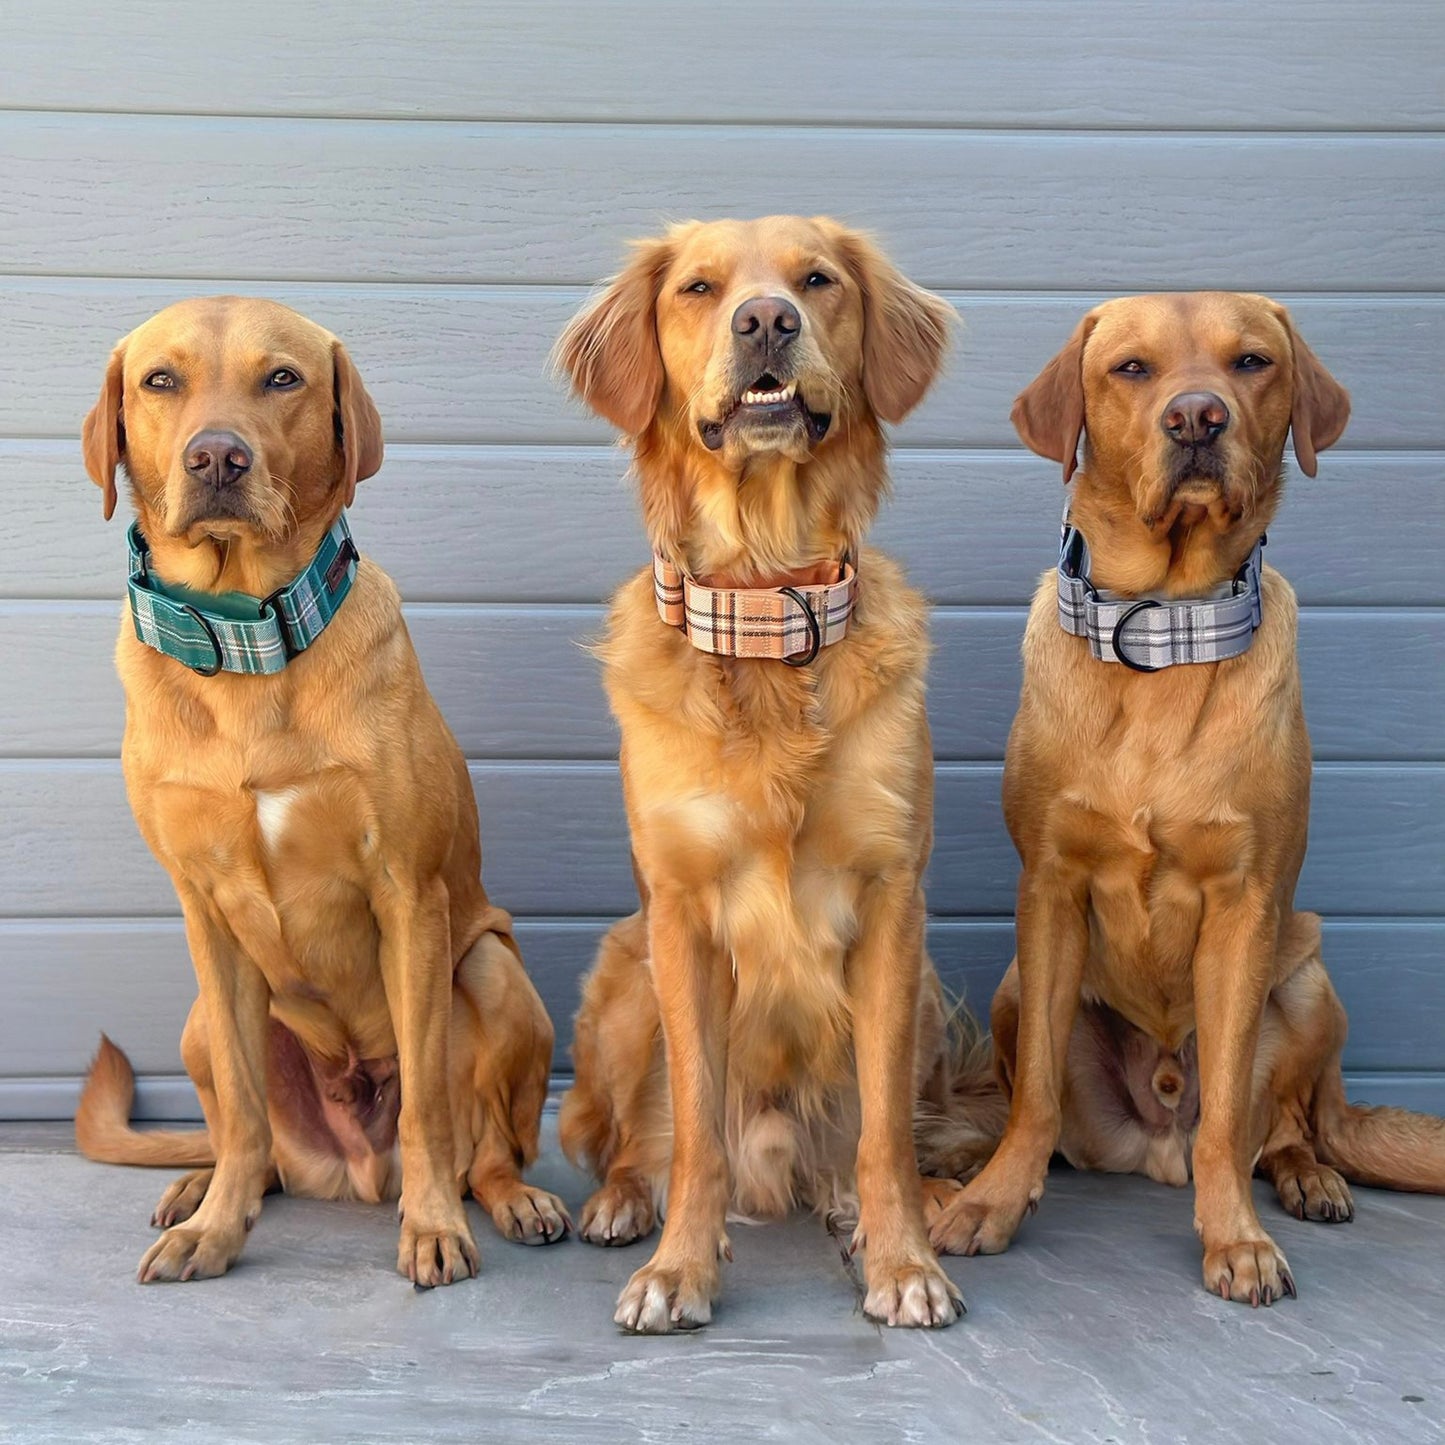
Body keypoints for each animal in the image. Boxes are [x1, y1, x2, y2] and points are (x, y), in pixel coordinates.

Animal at [76, 296, 566, 1288]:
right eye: (160, 380)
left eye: (281, 379)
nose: (216, 458)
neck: (245, 641)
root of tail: (351, 1169)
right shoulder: (205, 914)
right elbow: (242, 1106)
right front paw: (216, 1231)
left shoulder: (408, 897)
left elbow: (426, 1107)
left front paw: (432, 1229)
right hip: (197, 1019)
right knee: (249, 1142)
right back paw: (206, 1191)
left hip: (492, 971)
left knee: (486, 1148)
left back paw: (508, 1199)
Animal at [549, 213, 1005, 1329]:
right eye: (700, 288)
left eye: (817, 279)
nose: (766, 320)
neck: (765, 607)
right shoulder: (678, 912)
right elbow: (695, 1128)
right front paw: (678, 1266)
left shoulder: (891, 905)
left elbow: (882, 1130)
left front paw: (901, 1258)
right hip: (624, 970)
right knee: (636, 1136)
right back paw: (624, 1198)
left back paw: (846, 1199)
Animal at [919, 293, 1445, 1312]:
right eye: (1130, 368)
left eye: (1250, 363)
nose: (1196, 418)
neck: (1162, 626)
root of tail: (1149, 1145)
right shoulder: (1049, 889)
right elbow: (1033, 1092)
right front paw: (992, 1203)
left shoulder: (1245, 908)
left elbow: (1229, 1117)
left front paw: (1234, 1239)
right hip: (1013, 987)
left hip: (1306, 970)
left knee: (1278, 1125)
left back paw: (1304, 1177)